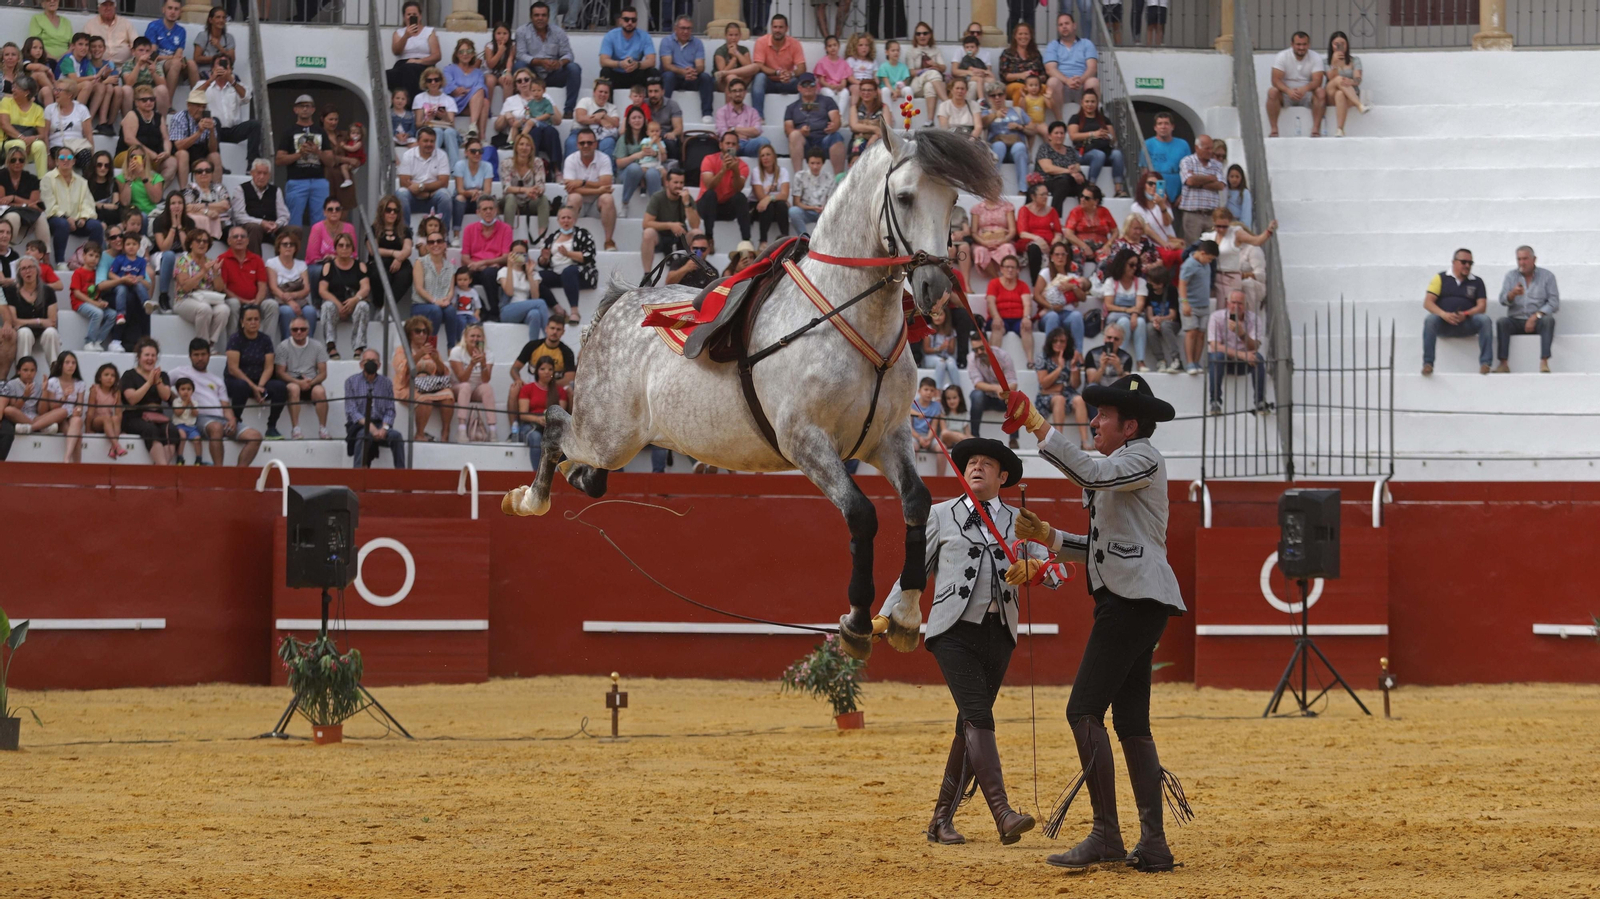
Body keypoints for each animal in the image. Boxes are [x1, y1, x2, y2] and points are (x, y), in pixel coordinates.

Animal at [501, 124, 1002, 661]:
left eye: (953, 199)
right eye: (905, 196)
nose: (935, 287)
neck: (846, 313)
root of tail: (620, 301)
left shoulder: (888, 437)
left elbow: (915, 501)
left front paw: (907, 617)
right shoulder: (806, 441)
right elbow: (862, 515)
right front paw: (856, 623)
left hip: (617, 441)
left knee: (585, 468)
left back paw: (572, 481)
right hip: (608, 434)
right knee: (556, 425)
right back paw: (527, 500)